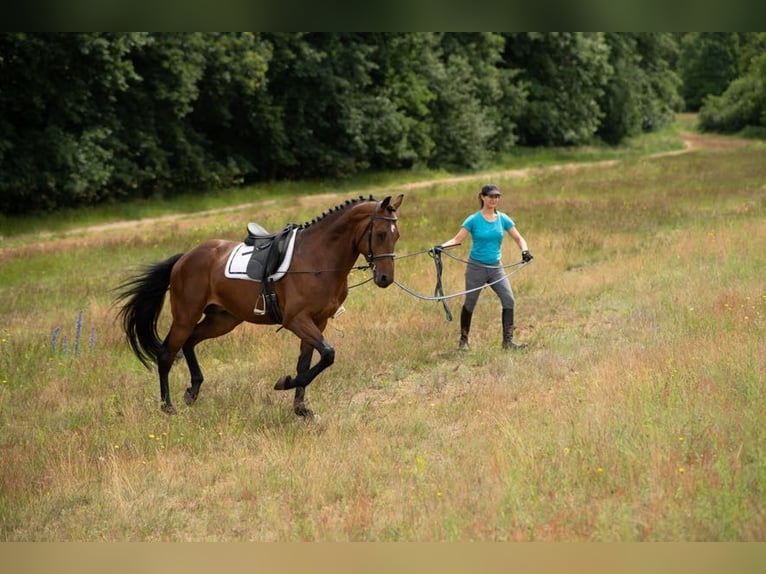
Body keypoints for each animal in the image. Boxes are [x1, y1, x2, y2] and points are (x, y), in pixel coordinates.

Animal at [117, 195, 404, 418]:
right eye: (380, 234)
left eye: (396, 236)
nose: (385, 278)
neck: (318, 258)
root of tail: (184, 258)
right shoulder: (297, 320)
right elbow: (327, 354)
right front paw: (284, 383)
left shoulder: (317, 322)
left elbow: (308, 362)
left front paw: (300, 408)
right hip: (186, 316)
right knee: (167, 353)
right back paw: (168, 407)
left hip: (223, 320)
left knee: (190, 342)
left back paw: (192, 391)